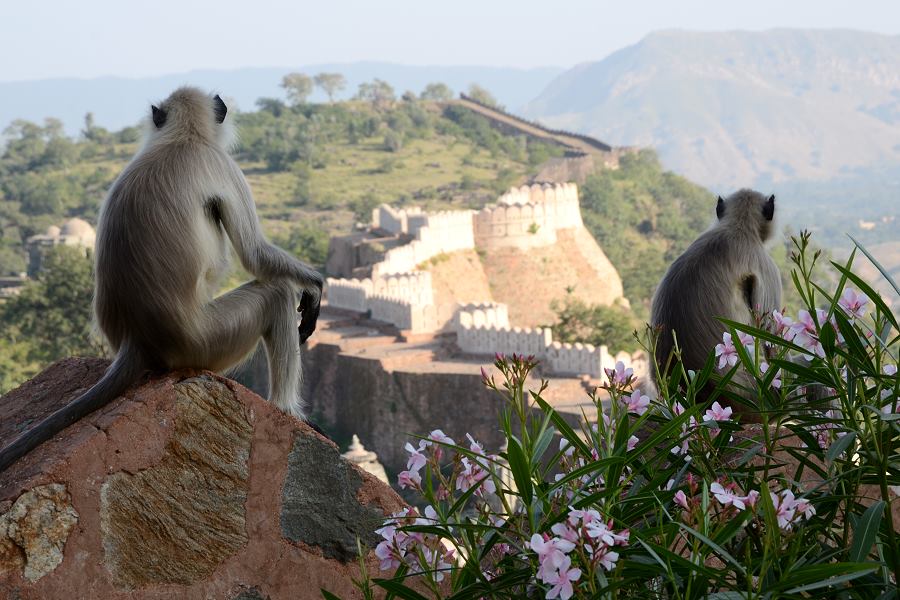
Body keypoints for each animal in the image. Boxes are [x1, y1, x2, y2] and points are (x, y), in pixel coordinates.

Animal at [0, 86, 324, 472]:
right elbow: (255, 255)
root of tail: (137, 338)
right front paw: (314, 285)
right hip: (208, 341)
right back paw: (287, 409)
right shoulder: (223, 165)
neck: (181, 138)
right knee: (275, 294)